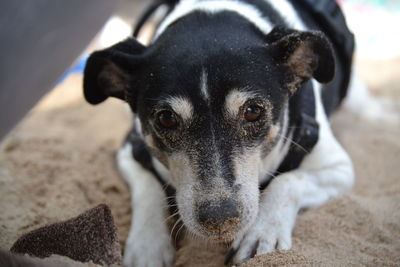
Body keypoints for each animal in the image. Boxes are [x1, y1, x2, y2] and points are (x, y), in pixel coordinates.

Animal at [84, 1, 356, 266]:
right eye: (166, 118)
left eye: (253, 111)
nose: (220, 219)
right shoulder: (129, 150)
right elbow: (148, 187)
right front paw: (147, 245)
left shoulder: (339, 168)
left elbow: (287, 181)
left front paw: (263, 232)